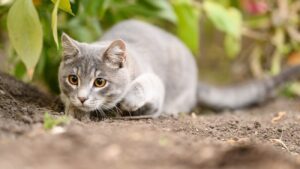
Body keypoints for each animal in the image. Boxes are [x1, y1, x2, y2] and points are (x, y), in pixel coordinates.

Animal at [58, 19, 300, 119]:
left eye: (100, 82)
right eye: (73, 79)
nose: (82, 98)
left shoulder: (154, 83)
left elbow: (145, 85)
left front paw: (128, 103)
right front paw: (74, 109)